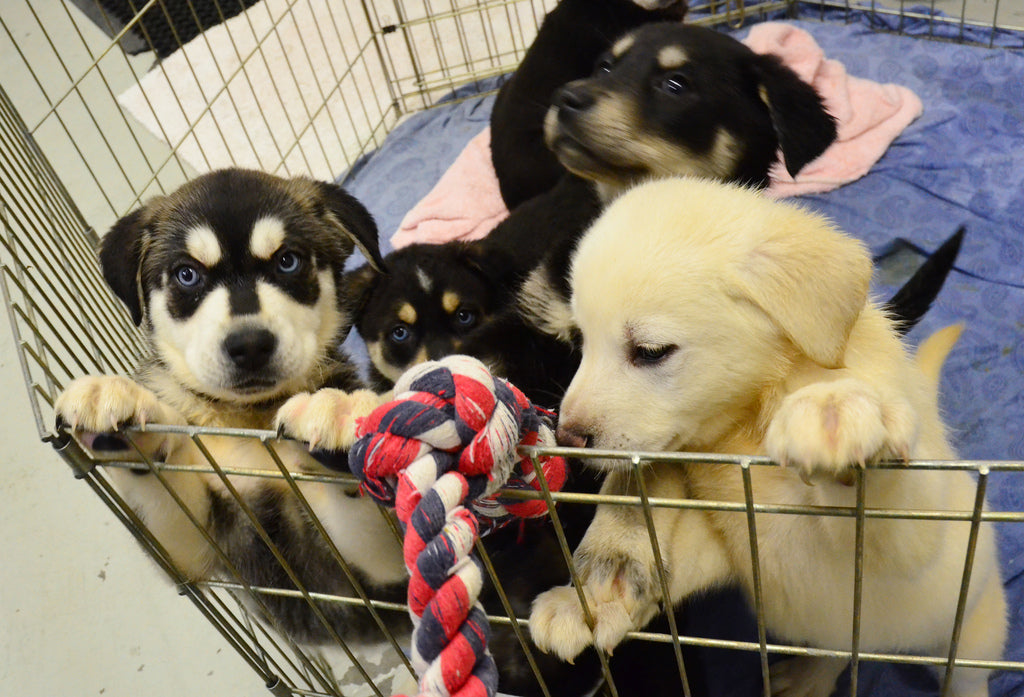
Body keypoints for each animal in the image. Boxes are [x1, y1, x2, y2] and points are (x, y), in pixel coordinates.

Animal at [528, 178, 1007, 695]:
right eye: (580, 342)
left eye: (651, 351)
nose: (567, 436)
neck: (747, 427)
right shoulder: (739, 546)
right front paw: (595, 591)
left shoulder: (904, 544)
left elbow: (890, 501)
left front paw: (837, 412)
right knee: (836, 652)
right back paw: (808, 678)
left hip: (973, 630)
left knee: (962, 673)